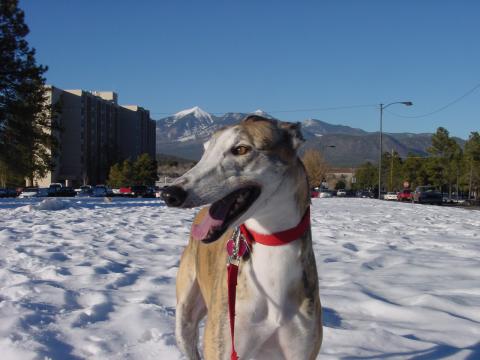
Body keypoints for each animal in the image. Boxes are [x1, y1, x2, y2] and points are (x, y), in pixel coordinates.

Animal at [161, 116, 322, 360]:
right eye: (206, 150)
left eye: (241, 149)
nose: (169, 193)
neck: (272, 242)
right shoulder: (225, 344)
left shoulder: (301, 351)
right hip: (185, 319)